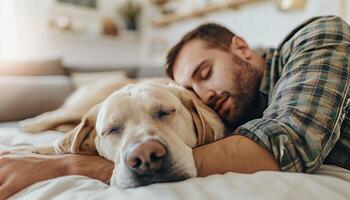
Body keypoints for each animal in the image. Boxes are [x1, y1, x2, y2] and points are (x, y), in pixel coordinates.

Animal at [13, 78, 224, 189]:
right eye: (112, 129)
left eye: (166, 112)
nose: (145, 155)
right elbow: (57, 146)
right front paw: (25, 149)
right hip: (81, 107)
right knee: (53, 115)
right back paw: (28, 125)